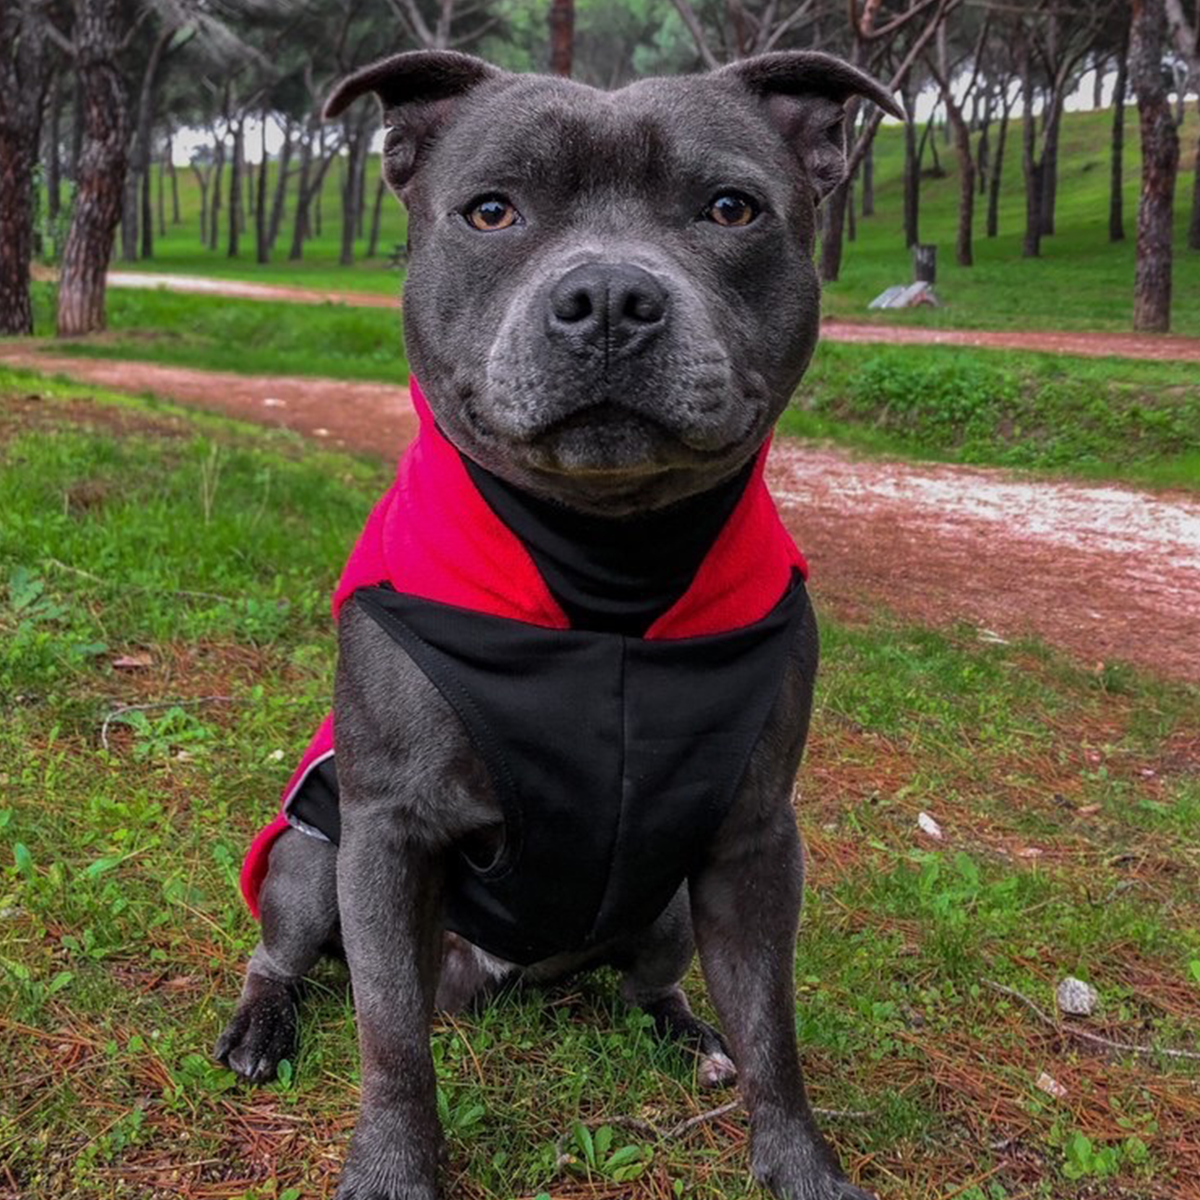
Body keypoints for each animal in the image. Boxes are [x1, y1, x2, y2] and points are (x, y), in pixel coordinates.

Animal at [213, 49, 902, 1200]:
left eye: (731, 208)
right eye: (492, 211)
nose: (611, 297)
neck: (607, 564)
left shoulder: (755, 838)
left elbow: (776, 1030)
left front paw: (802, 1166)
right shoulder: (386, 833)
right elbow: (391, 1041)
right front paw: (393, 1168)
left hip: (667, 906)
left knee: (649, 983)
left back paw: (684, 1032)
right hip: (311, 859)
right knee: (291, 957)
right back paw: (263, 1026)